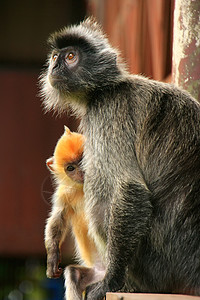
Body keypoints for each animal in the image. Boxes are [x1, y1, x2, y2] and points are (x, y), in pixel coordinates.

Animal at [39, 17, 200, 298]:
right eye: (56, 56)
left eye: (71, 57)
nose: (54, 66)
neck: (105, 89)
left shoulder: (107, 110)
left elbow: (129, 187)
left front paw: (110, 281)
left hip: (156, 266)